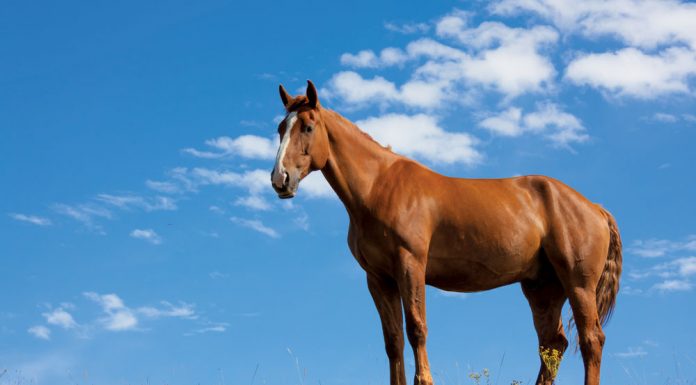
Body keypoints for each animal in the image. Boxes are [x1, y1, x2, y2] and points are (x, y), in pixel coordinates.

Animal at [270, 79, 624, 384]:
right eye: (280, 129)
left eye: (308, 127)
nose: (280, 178)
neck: (378, 187)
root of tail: (594, 207)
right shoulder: (379, 279)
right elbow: (393, 340)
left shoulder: (410, 265)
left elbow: (416, 328)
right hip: (542, 288)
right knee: (553, 345)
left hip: (578, 283)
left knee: (591, 339)